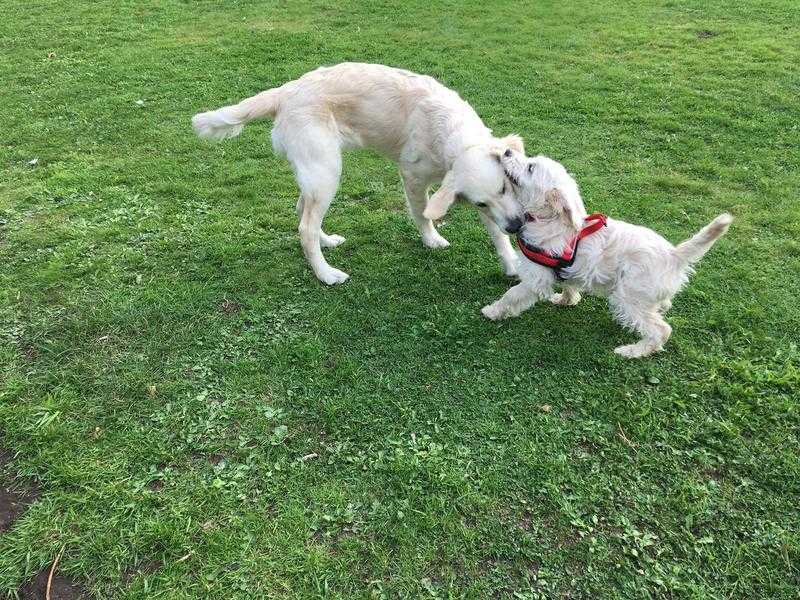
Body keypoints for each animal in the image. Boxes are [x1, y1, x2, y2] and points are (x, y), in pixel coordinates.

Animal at [191, 62, 520, 284]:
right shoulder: (413, 177)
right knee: (305, 228)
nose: (517, 226)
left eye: (506, 188)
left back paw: (326, 242)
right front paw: (431, 240)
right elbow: (421, 214)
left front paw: (512, 264)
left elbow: (496, 234)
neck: (453, 132)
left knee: (301, 210)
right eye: (481, 201)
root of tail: (287, 90)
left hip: (316, 174)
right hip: (326, 171)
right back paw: (325, 273)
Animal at [478, 151, 736, 356]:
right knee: (662, 308)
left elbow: (512, 295)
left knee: (660, 330)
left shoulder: (535, 278)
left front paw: (492, 311)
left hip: (629, 298)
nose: (507, 151)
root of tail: (674, 255)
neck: (548, 219)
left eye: (530, 167)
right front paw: (565, 300)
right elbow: (569, 286)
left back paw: (633, 351)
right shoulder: (569, 270)